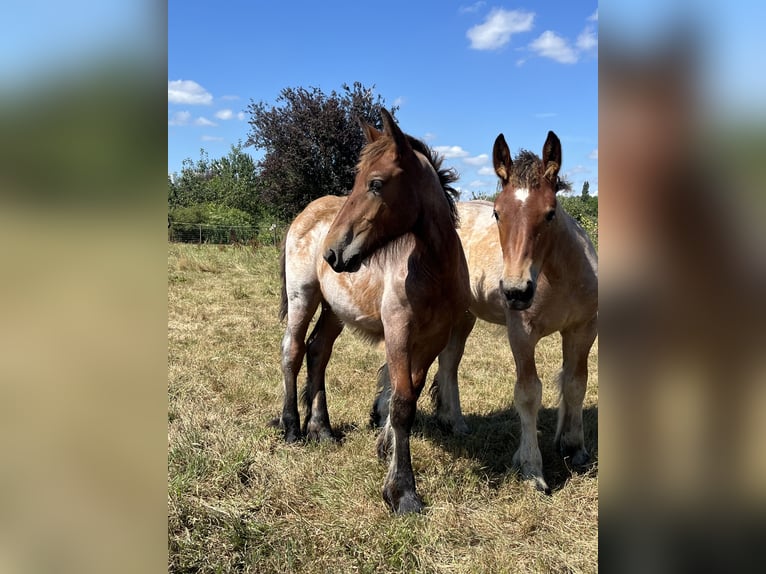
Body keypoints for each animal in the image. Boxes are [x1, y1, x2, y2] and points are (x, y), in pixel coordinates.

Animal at [278, 109, 470, 513]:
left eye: (376, 184)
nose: (333, 253)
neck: (434, 270)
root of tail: (305, 214)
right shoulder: (398, 332)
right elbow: (401, 402)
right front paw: (402, 491)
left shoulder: (432, 340)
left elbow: (408, 394)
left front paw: (385, 450)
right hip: (303, 297)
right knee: (293, 351)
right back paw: (292, 428)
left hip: (335, 310)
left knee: (318, 352)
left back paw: (321, 429)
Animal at [373, 131, 598, 494]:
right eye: (497, 213)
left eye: (550, 213)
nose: (517, 291)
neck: (560, 276)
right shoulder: (522, 333)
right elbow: (528, 393)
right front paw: (531, 467)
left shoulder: (583, 329)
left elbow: (576, 384)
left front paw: (575, 448)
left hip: (461, 318)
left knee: (448, 363)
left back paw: (454, 422)